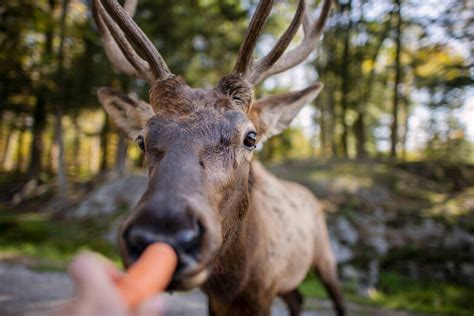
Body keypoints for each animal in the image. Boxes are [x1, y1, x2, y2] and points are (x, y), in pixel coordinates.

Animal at [91, 0, 344, 314]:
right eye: (141, 139)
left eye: (251, 137)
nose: (164, 232)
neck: (233, 284)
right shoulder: (215, 300)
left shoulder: (264, 293)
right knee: (297, 298)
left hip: (325, 256)